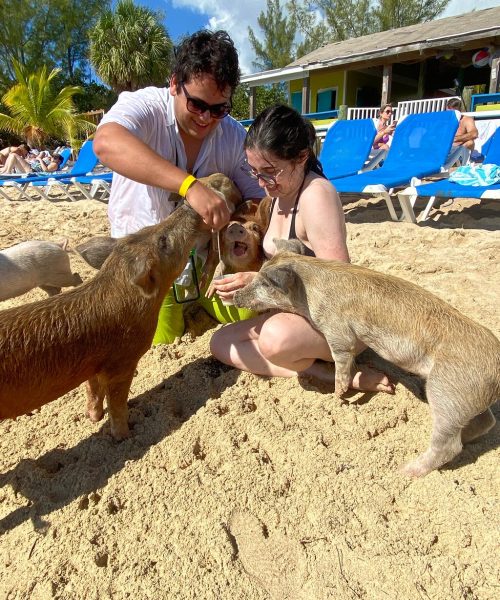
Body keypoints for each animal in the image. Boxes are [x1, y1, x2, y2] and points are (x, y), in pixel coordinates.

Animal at [0, 204, 204, 442]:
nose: (188, 205)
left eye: (146, 229)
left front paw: (93, 418)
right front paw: (124, 436)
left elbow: (93, 390)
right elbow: (116, 402)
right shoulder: (122, 362)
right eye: (163, 242)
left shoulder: (92, 363)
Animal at [233, 239, 500, 478]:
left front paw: (338, 396)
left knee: (449, 445)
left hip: (447, 392)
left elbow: (341, 360)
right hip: (464, 398)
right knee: (486, 422)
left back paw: (403, 471)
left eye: (264, 283)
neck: (309, 292)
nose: (235, 296)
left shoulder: (338, 332)